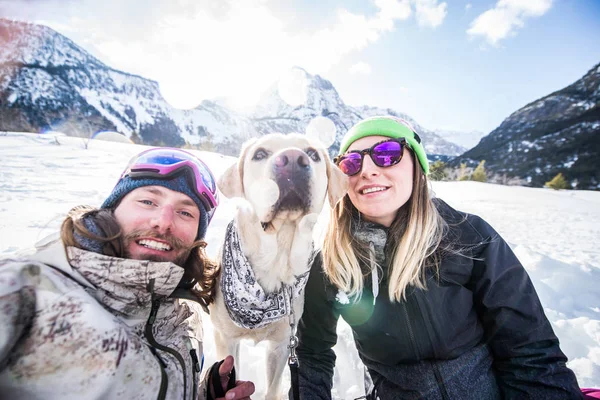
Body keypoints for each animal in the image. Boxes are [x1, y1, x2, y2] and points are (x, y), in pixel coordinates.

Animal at [211, 133, 346, 398]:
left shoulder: (282, 345)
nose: (293, 160)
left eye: (313, 154)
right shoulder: (226, 340)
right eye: (260, 154)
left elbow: (272, 388)